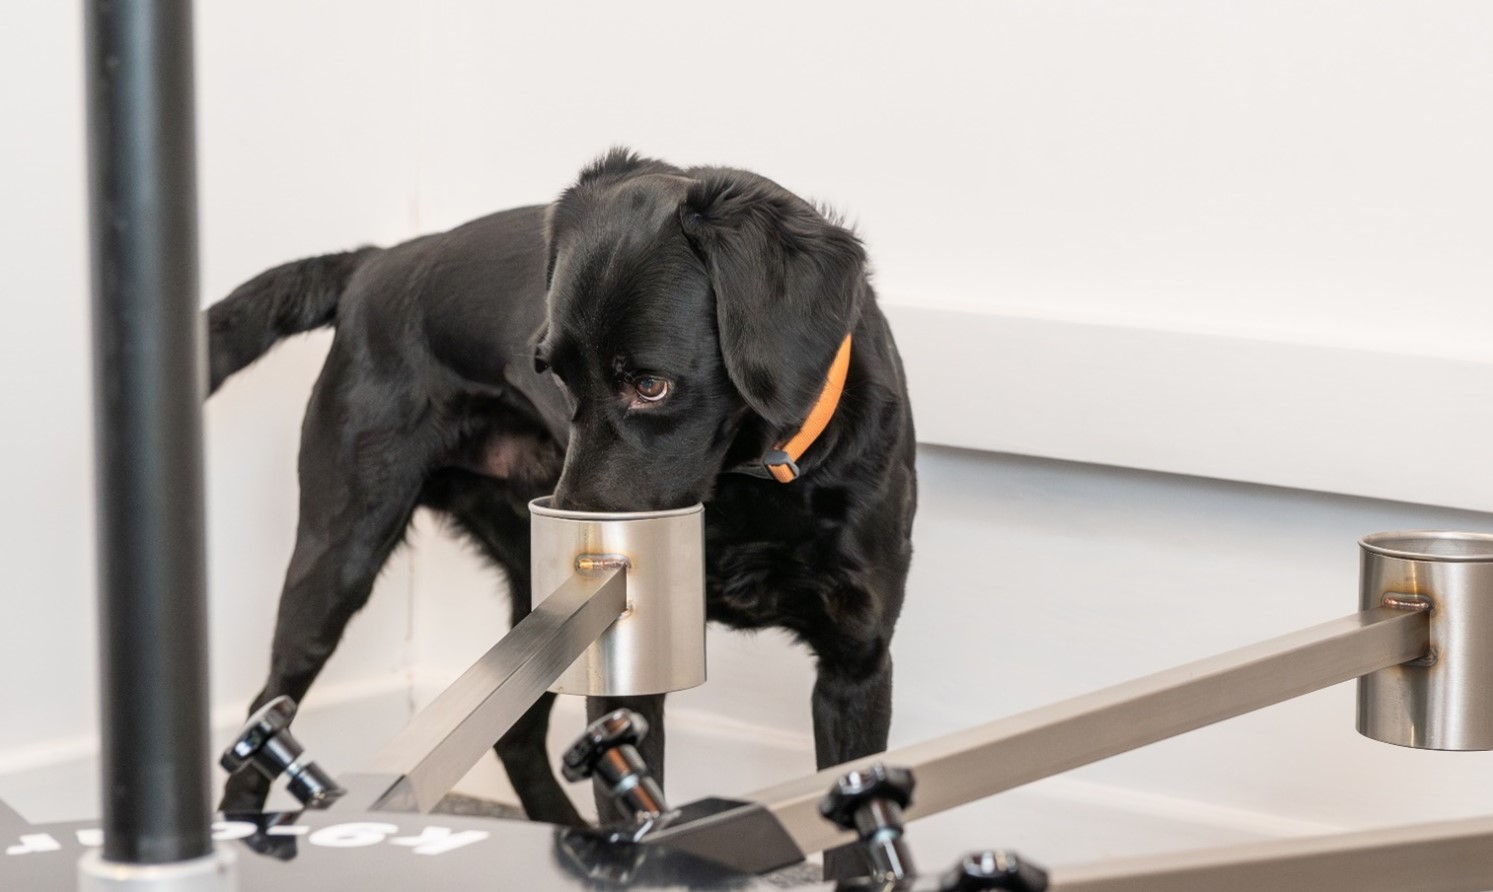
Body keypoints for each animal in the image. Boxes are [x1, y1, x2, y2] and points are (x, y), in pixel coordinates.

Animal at [206, 151, 913, 842]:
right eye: (553, 375)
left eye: (650, 386)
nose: (585, 542)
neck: (750, 480)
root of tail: (376, 261)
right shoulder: (623, 671)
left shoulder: (857, 664)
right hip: (340, 557)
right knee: (265, 711)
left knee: (515, 736)